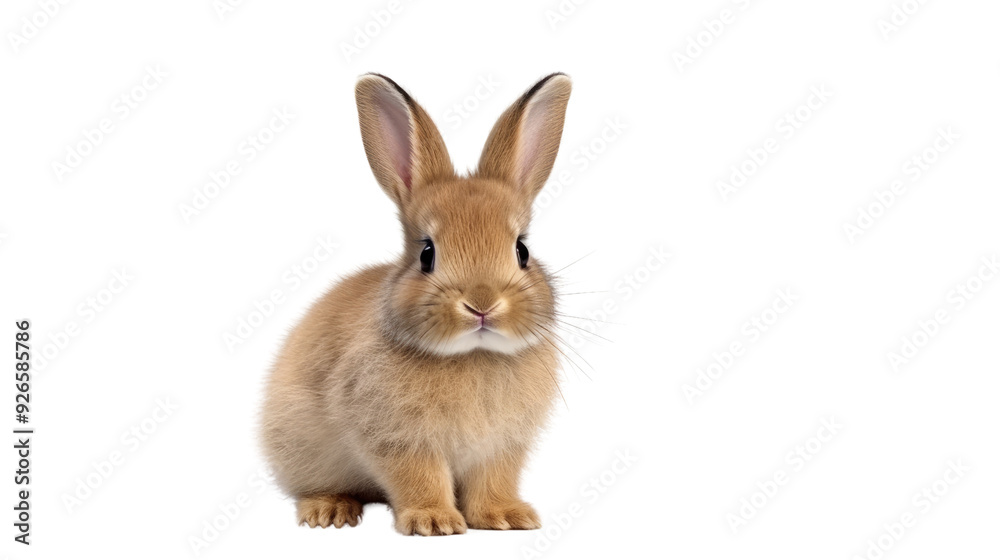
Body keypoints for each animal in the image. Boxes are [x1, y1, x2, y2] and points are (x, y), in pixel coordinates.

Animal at [259, 72, 572, 536]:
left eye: (522, 251)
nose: (481, 304)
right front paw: (434, 521)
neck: (472, 355)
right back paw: (329, 511)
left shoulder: (501, 447)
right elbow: (419, 476)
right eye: (427, 253)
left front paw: (505, 517)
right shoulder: (399, 439)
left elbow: (493, 480)